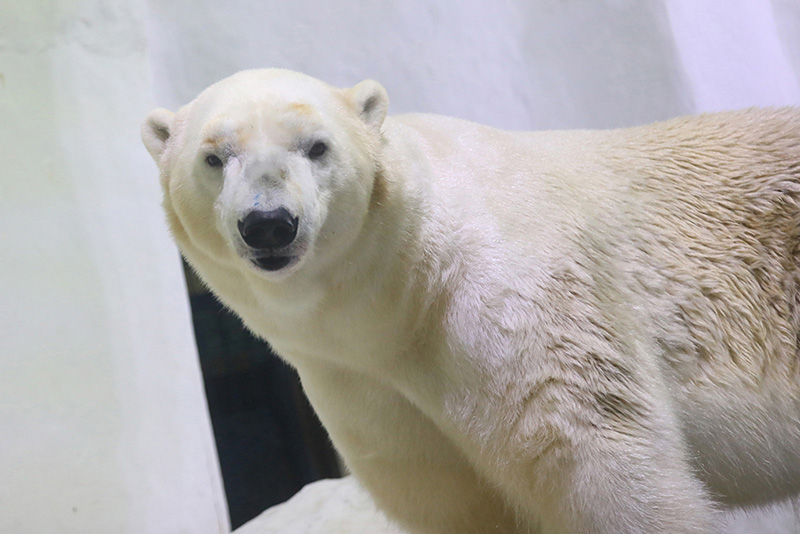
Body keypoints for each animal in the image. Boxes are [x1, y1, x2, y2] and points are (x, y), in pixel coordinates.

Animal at [144, 69, 800, 532]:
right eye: (214, 156)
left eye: (317, 146)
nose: (269, 225)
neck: (400, 296)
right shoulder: (362, 386)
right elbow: (456, 501)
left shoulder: (507, 301)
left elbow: (595, 462)